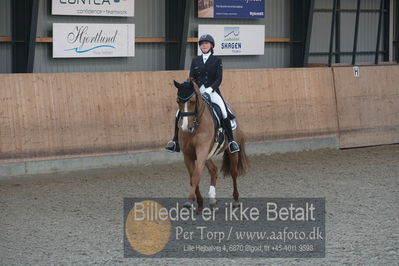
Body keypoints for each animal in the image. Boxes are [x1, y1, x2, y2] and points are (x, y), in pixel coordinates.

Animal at [173, 80, 248, 211]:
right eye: (178, 101)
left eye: (192, 101)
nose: (185, 127)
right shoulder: (188, 155)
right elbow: (193, 179)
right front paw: (199, 204)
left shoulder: (202, 151)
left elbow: (196, 176)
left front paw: (189, 201)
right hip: (207, 155)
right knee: (213, 170)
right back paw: (212, 199)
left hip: (231, 152)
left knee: (233, 173)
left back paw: (236, 200)